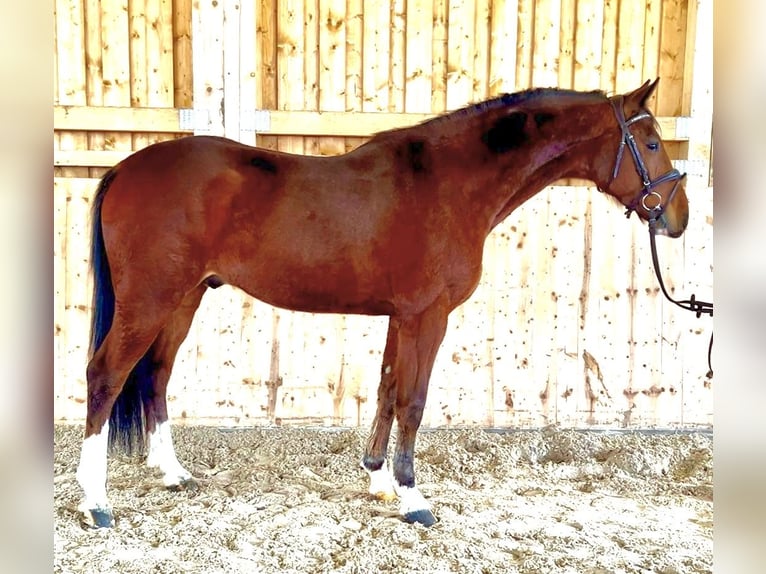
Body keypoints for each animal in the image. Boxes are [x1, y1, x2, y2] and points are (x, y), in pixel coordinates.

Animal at [75, 79, 688, 528]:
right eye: (652, 144)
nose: (677, 219)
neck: (448, 185)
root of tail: (125, 168)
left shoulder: (401, 315)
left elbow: (388, 389)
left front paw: (378, 480)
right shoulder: (428, 315)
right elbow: (413, 400)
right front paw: (414, 499)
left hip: (182, 300)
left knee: (154, 374)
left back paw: (172, 473)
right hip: (149, 300)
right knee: (107, 374)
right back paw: (95, 502)